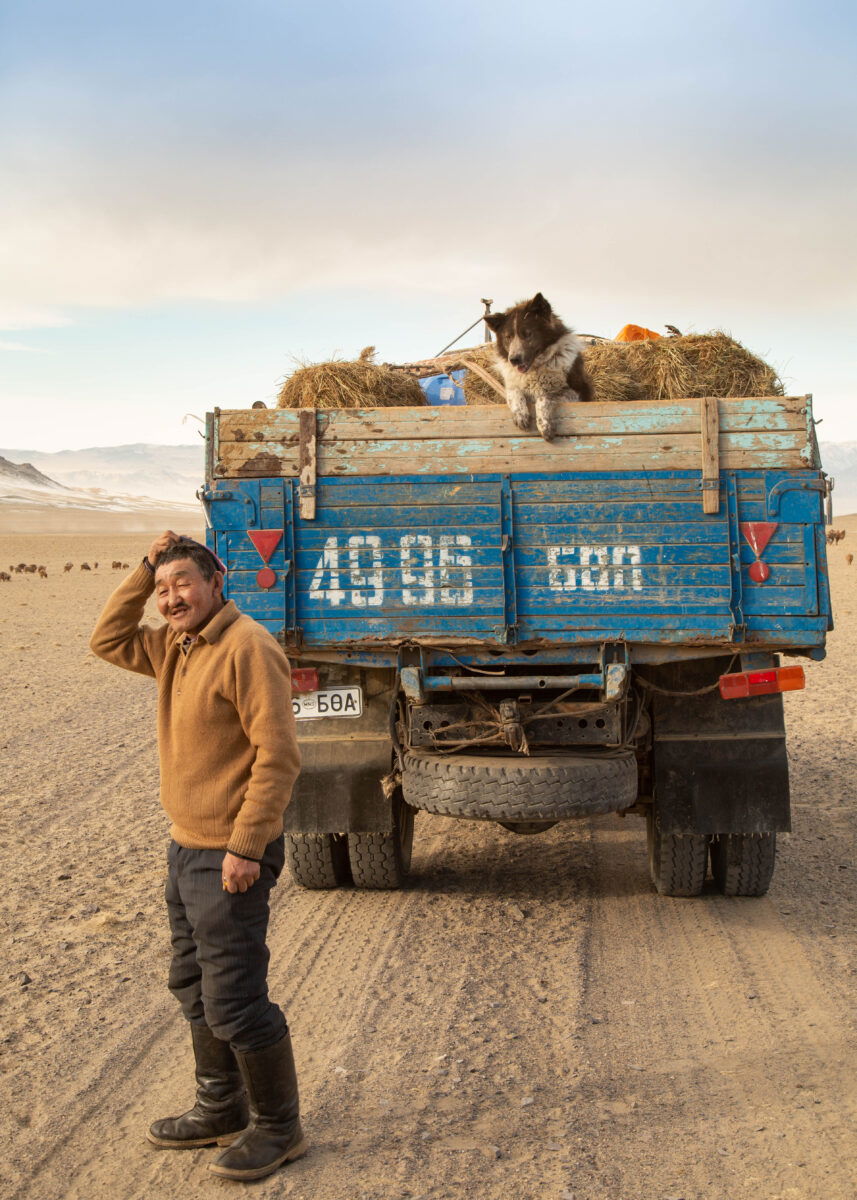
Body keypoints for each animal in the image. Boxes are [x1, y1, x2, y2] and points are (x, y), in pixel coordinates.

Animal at [484, 292, 590, 444]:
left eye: (527, 334)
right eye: (508, 337)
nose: (514, 360)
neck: (535, 368)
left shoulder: (576, 392)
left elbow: (545, 396)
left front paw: (545, 425)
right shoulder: (512, 386)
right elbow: (513, 392)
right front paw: (520, 414)